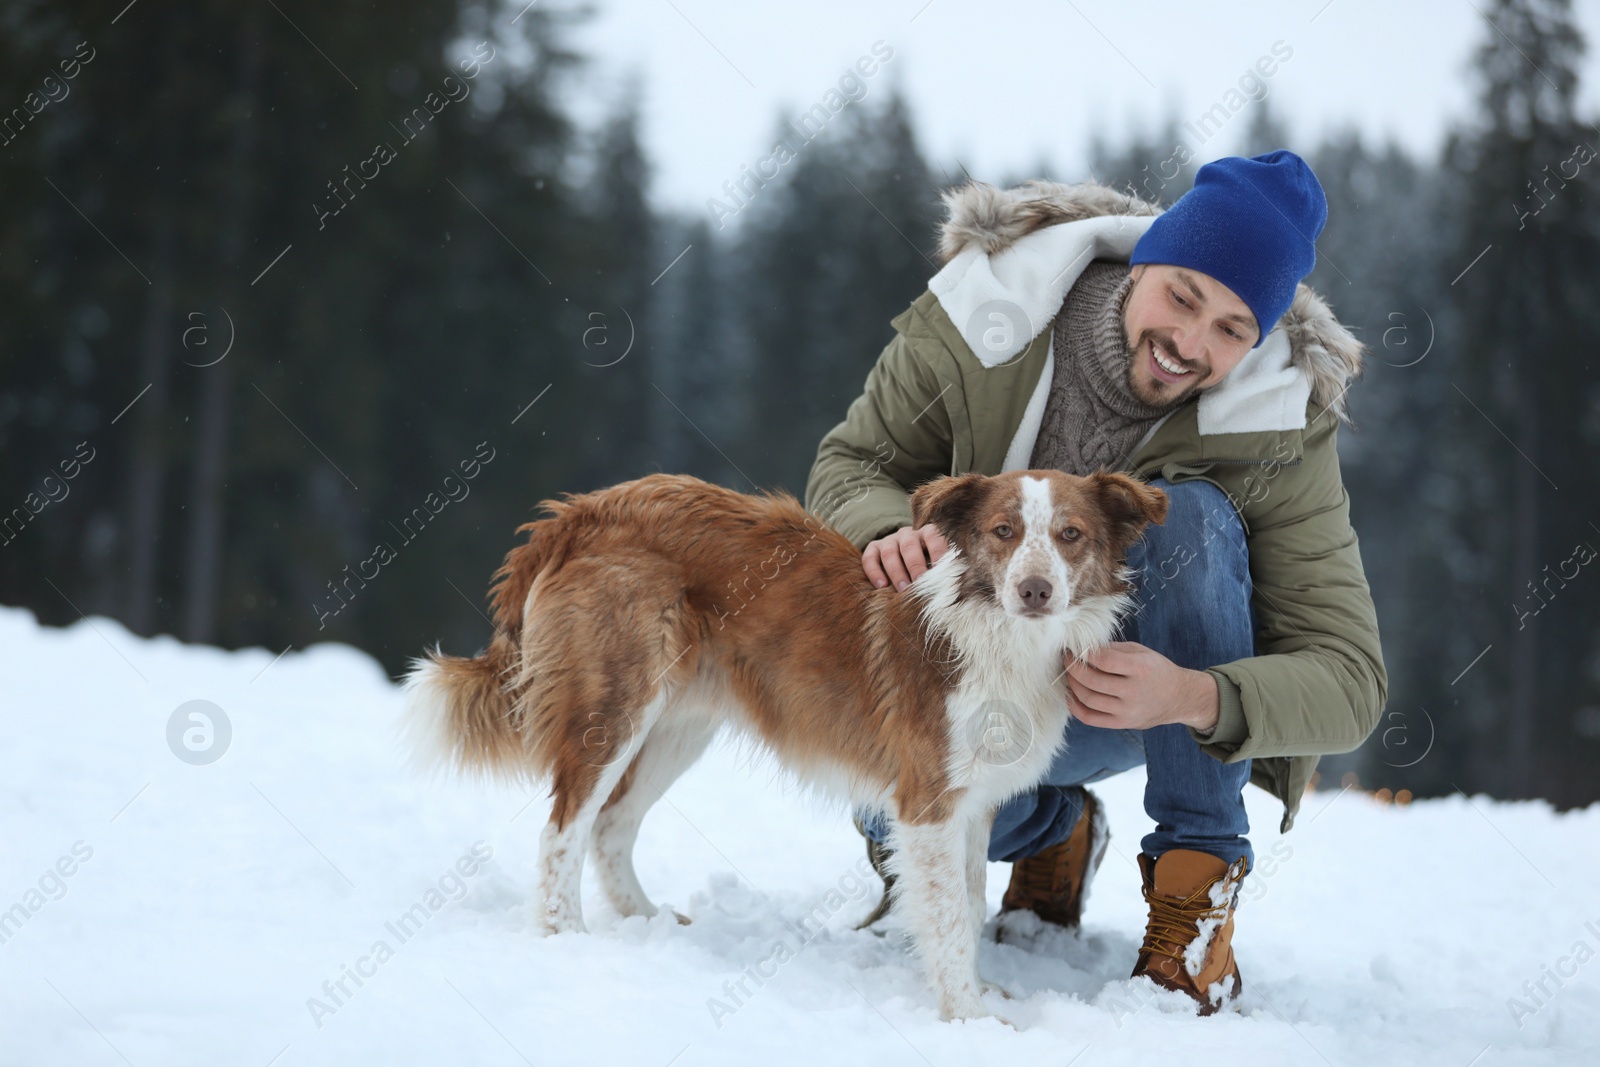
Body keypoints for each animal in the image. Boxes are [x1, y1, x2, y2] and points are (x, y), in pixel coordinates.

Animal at [406, 470, 1171, 1023]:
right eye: (1003, 532)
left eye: (1071, 535)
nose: (1035, 589)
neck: (999, 636)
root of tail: (586, 508)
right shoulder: (927, 805)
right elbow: (951, 919)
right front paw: (972, 1021)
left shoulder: (976, 806)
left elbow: (972, 901)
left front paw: (978, 997)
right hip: (614, 705)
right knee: (563, 827)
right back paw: (567, 938)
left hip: (679, 723)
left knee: (611, 825)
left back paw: (650, 928)